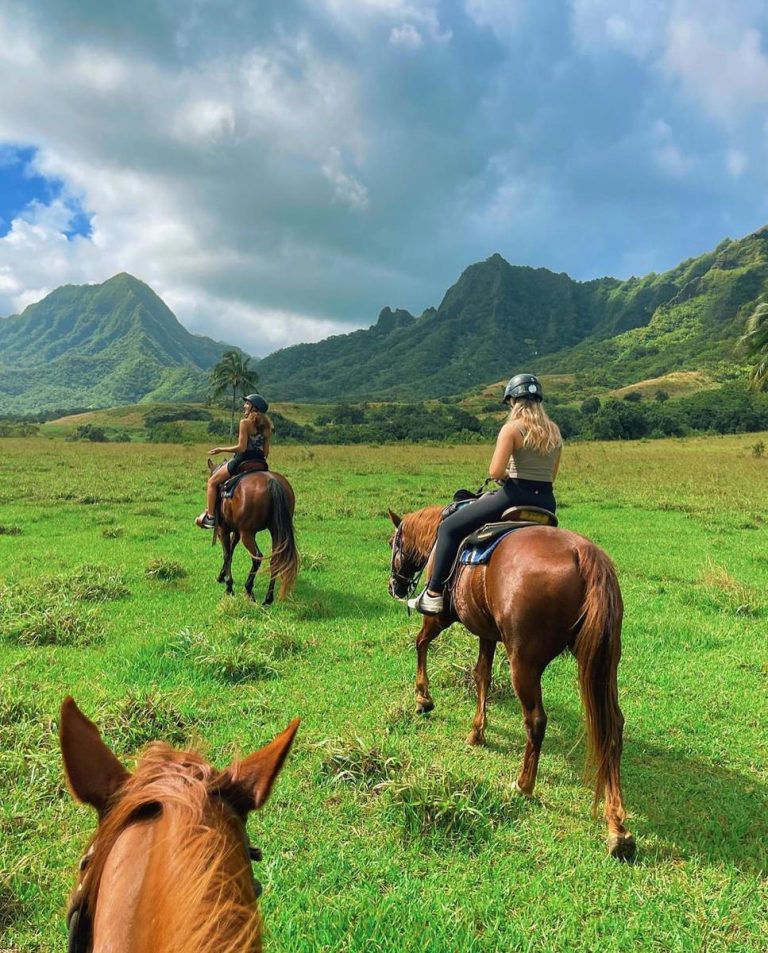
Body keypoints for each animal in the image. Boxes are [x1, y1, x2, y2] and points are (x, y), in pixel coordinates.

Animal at [210, 464, 300, 608]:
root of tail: (272, 481)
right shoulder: (236, 532)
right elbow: (231, 552)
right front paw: (222, 576)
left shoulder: (223, 530)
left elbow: (227, 555)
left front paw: (229, 586)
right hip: (275, 531)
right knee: (275, 560)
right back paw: (268, 598)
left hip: (248, 534)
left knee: (257, 557)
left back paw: (249, 589)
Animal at [390, 502, 636, 860]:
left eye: (393, 543)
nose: (394, 586)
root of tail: (584, 553)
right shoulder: (486, 631)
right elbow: (482, 675)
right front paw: (477, 731)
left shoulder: (440, 617)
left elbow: (421, 644)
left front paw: (424, 698)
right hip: (605, 663)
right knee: (612, 726)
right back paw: (617, 828)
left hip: (524, 662)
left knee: (536, 721)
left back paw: (524, 785)